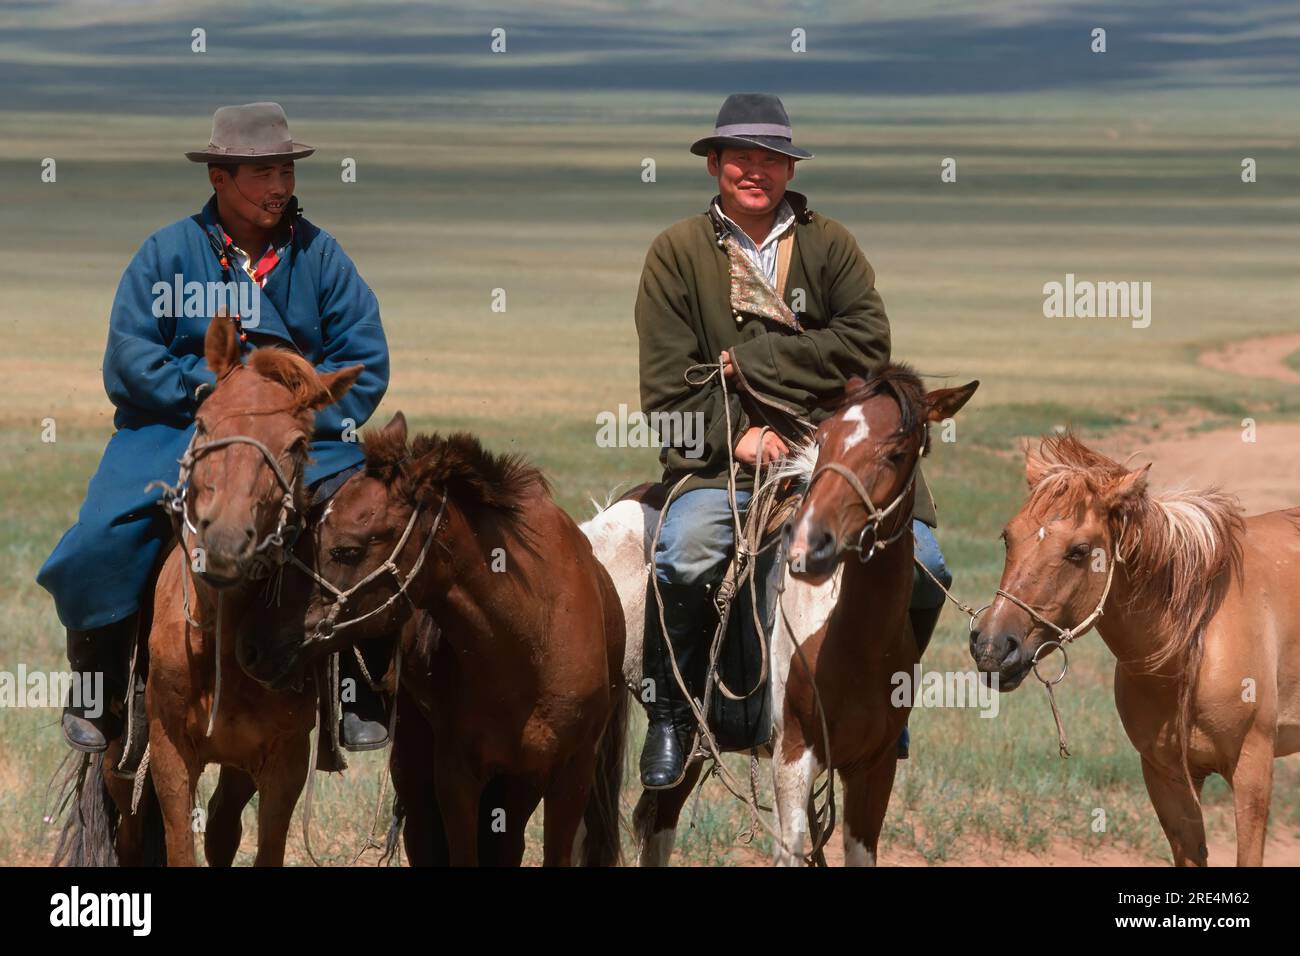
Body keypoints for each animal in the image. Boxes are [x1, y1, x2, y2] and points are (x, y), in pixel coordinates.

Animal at [79, 319, 364, 868]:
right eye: (204, 424)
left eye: (298, 444)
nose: (226, 544)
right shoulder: (169, 752)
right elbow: (178, 844)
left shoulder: (284, 759)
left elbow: (260, 844)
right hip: (120, 758)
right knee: (131, 834)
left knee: (222, 826)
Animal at [587, 366, 977, 868]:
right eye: (824, 439)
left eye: (897, 452)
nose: (810, 544)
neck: (851, 638)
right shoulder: (793, 758)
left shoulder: (875, 767)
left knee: (656, 820)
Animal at [972, 434, 1300, 868]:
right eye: (1008, 536)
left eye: (1078, 551)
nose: (992, 646)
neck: (1193, 641)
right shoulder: (1166, 777)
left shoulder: (1252, 770)